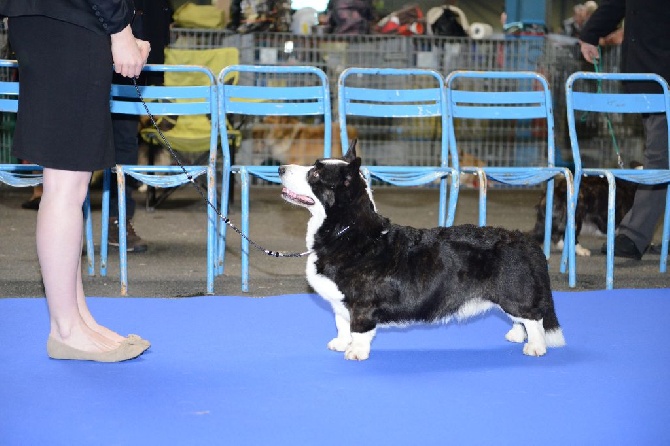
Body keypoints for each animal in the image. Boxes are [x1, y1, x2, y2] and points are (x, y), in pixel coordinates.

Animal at [278, 143, 568, 362]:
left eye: (315, 174)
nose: (280, 168)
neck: (346, 230)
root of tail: (525, 240)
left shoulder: (362, 305)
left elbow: (358, 330)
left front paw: (355, 353)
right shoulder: (340, 304)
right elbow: (341, 324)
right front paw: (339, 344)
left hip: (512, 292)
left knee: (534, 317)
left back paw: (535, 347)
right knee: (522, 319)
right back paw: (516, 336)